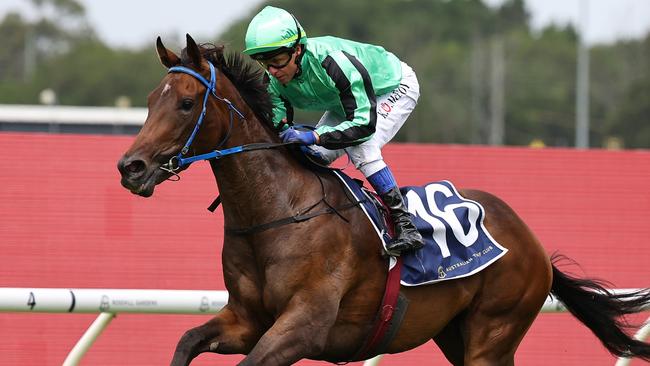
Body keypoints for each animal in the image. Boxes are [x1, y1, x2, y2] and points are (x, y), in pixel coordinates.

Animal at [117, 33, 648, 364]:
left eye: (187, 103)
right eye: (150, 99)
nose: (130, 167)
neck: (279, 211)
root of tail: (531, 238)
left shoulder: (303, 327)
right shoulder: (246, 321)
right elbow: (186, 340)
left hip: (492, 334)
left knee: (366, 142)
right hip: (456, 335)